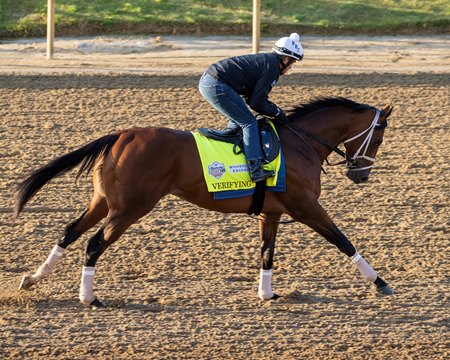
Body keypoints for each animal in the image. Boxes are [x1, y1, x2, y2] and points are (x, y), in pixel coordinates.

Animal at [14, 95, 394, 306]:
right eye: (378, 138)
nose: (361, 175)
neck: (300, 143)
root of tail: (121, 135)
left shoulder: (270, 214)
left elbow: (267, 253)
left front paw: (266, 294)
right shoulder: (305, 207)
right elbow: (343, 240)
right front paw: (380, 282)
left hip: (104, 202)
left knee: (69, 232)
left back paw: (32, 279)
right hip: (131, 208)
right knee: (93, 243)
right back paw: (89, 298)